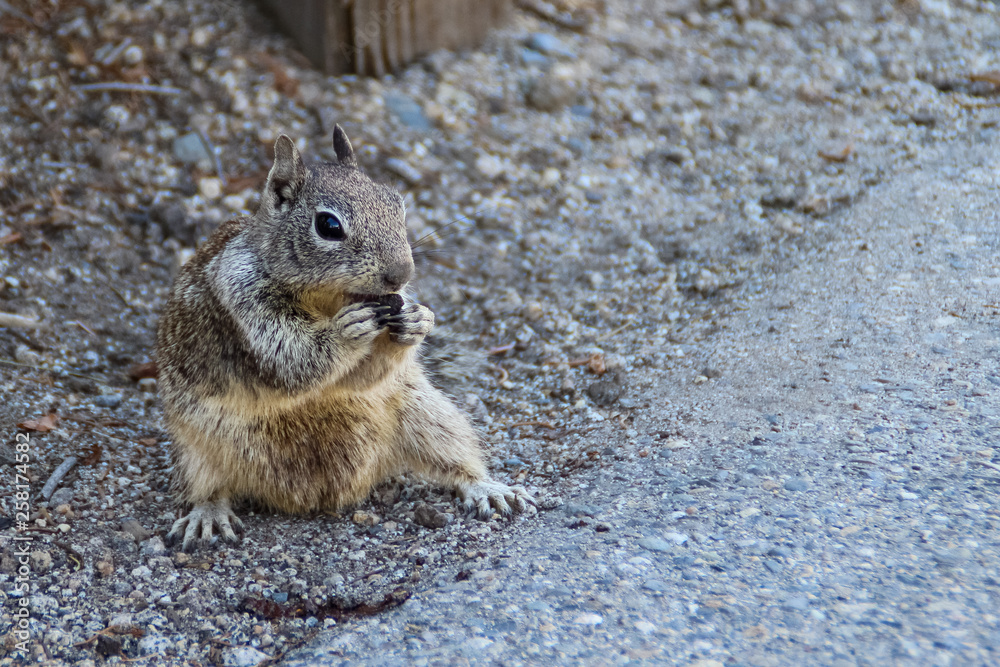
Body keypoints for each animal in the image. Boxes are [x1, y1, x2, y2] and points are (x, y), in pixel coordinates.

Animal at [157, 126, 533, 550]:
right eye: (328, 226)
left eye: (398, 205)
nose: (401, 274)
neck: (328, 298)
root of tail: (318, 497)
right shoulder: (244, 305)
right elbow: (293, 361)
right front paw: (346, 331)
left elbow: (364, 376)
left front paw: (418, 321)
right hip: (197, 453)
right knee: (207, 489)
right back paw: (207, 514)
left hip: (430, 417)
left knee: (455, 460)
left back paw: (487, 487)